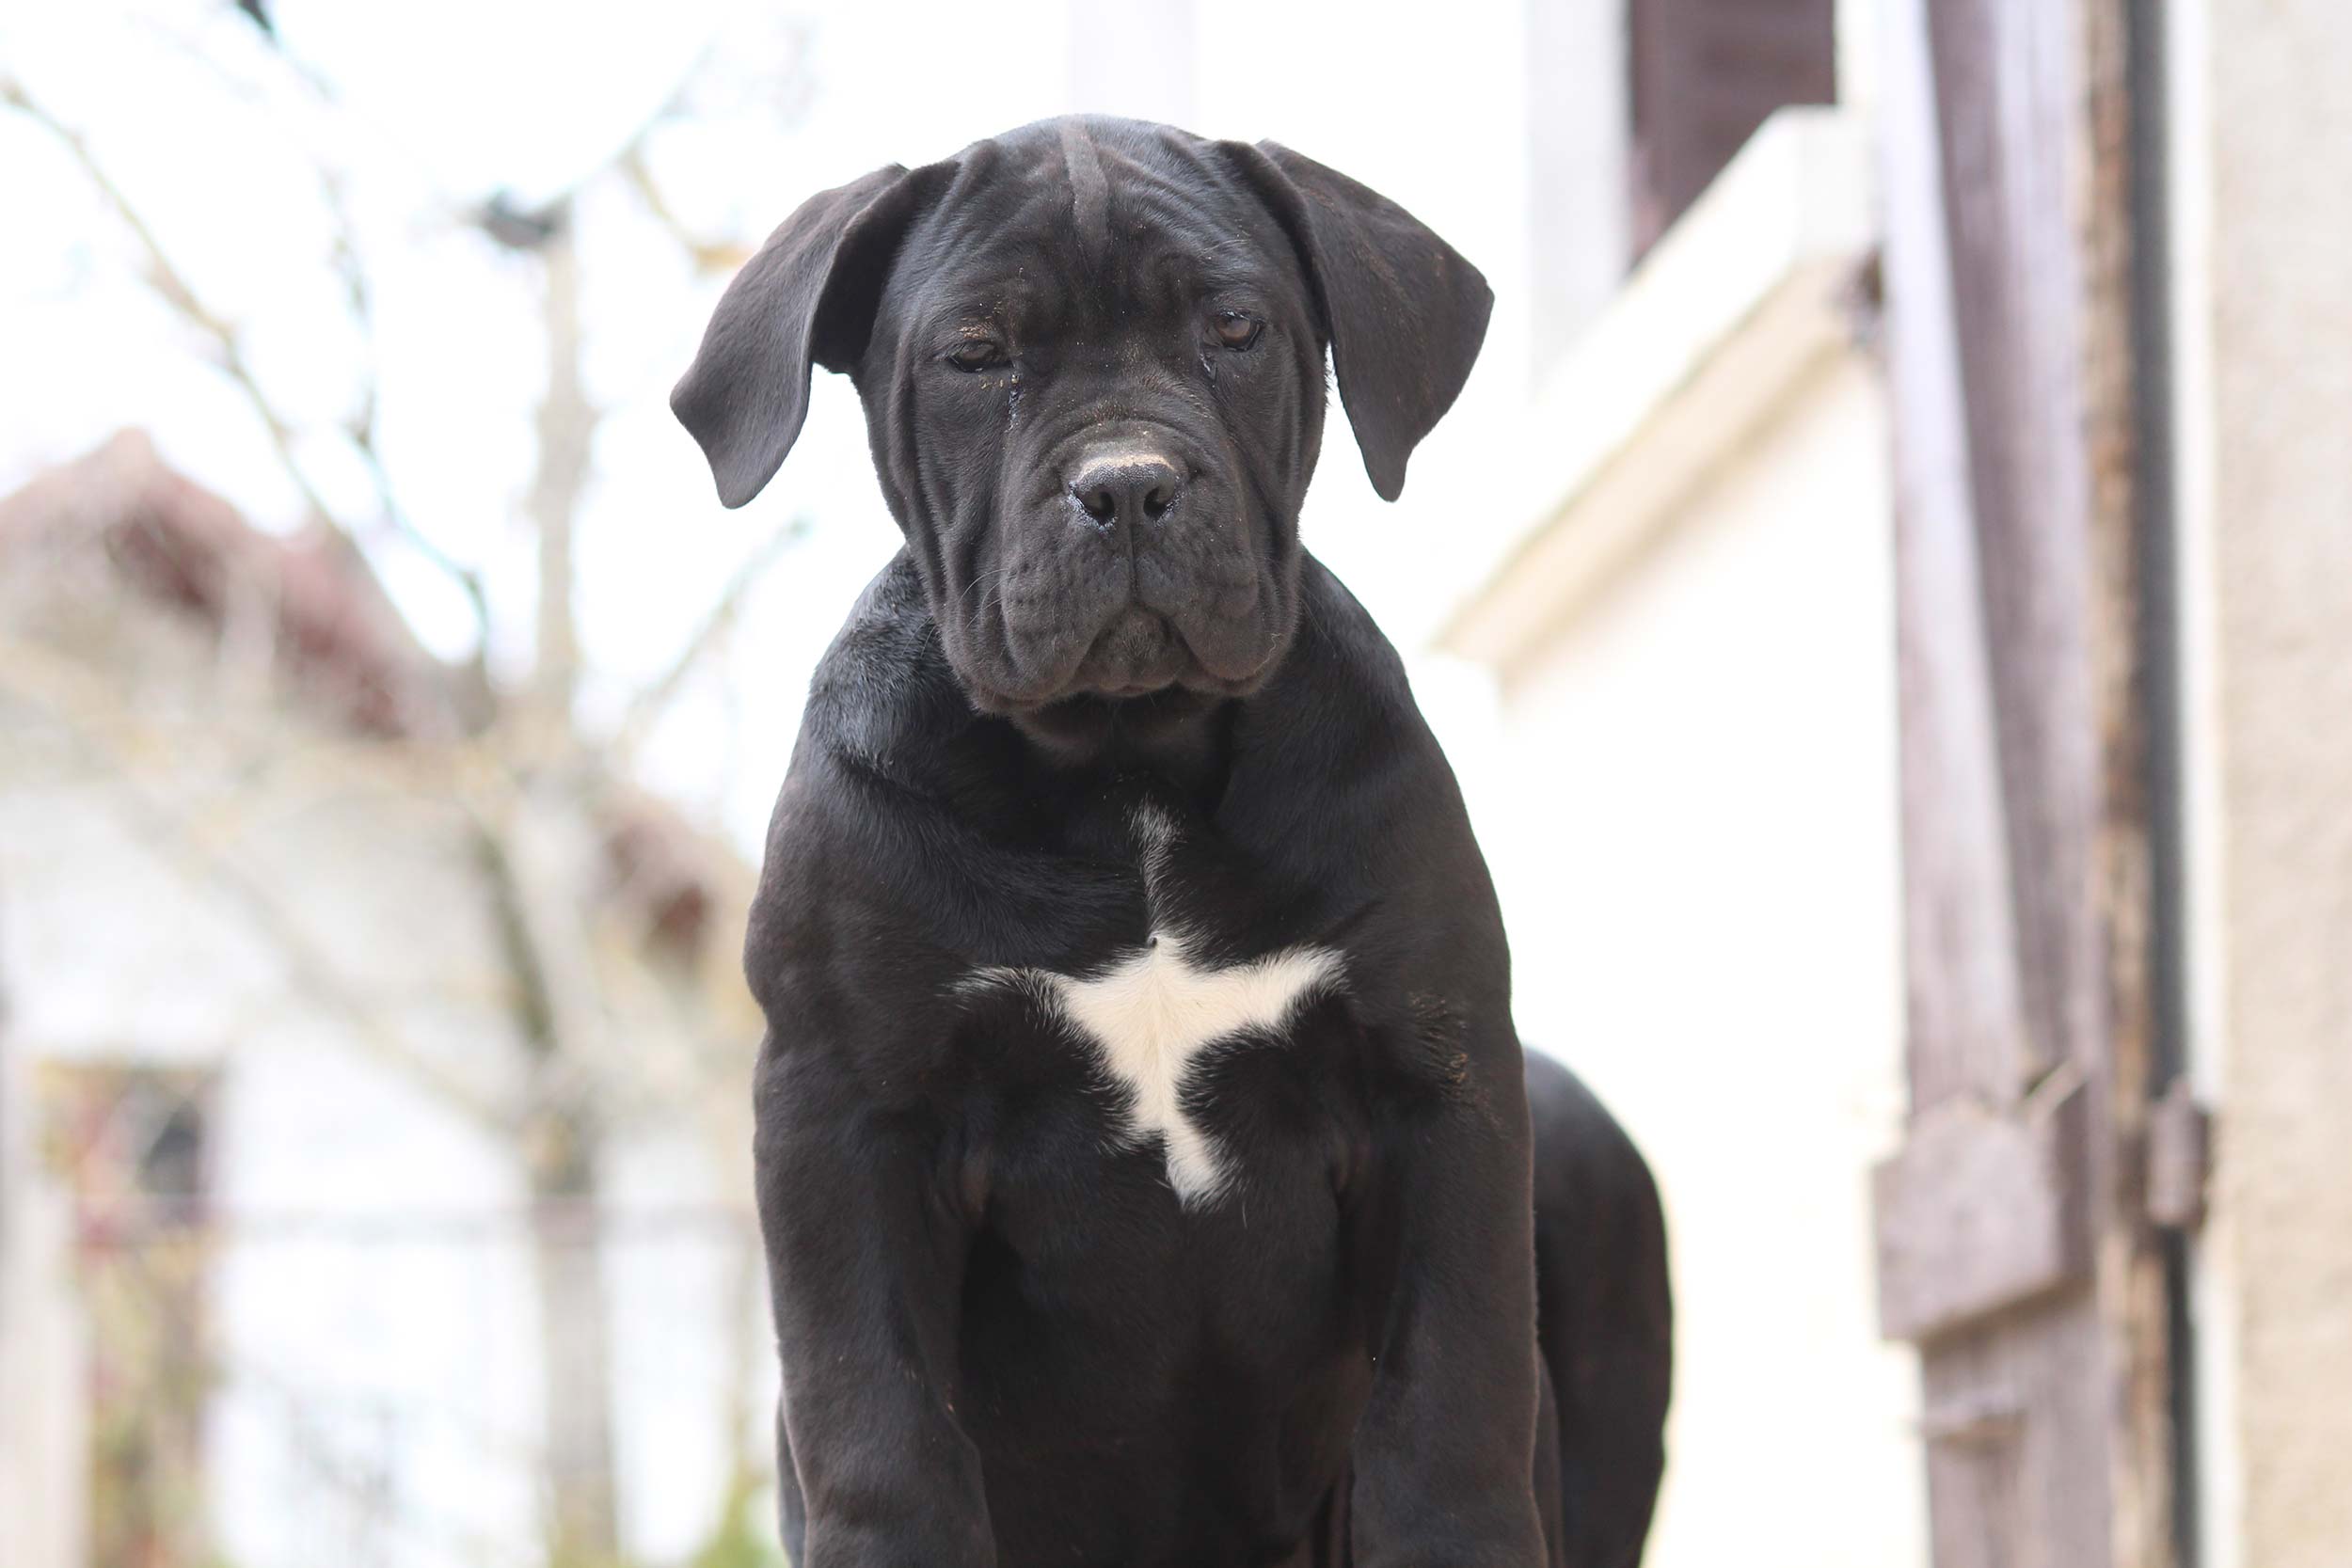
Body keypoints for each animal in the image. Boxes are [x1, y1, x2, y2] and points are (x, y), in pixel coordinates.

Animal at [677, 116, 1675, 1560]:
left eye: (1235, 327)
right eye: (975, 354)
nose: (1129, 485)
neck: (1127, 765)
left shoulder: (1439, 1082)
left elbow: (1448, 1410)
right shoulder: (844, 1108)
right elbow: (880, 1425)